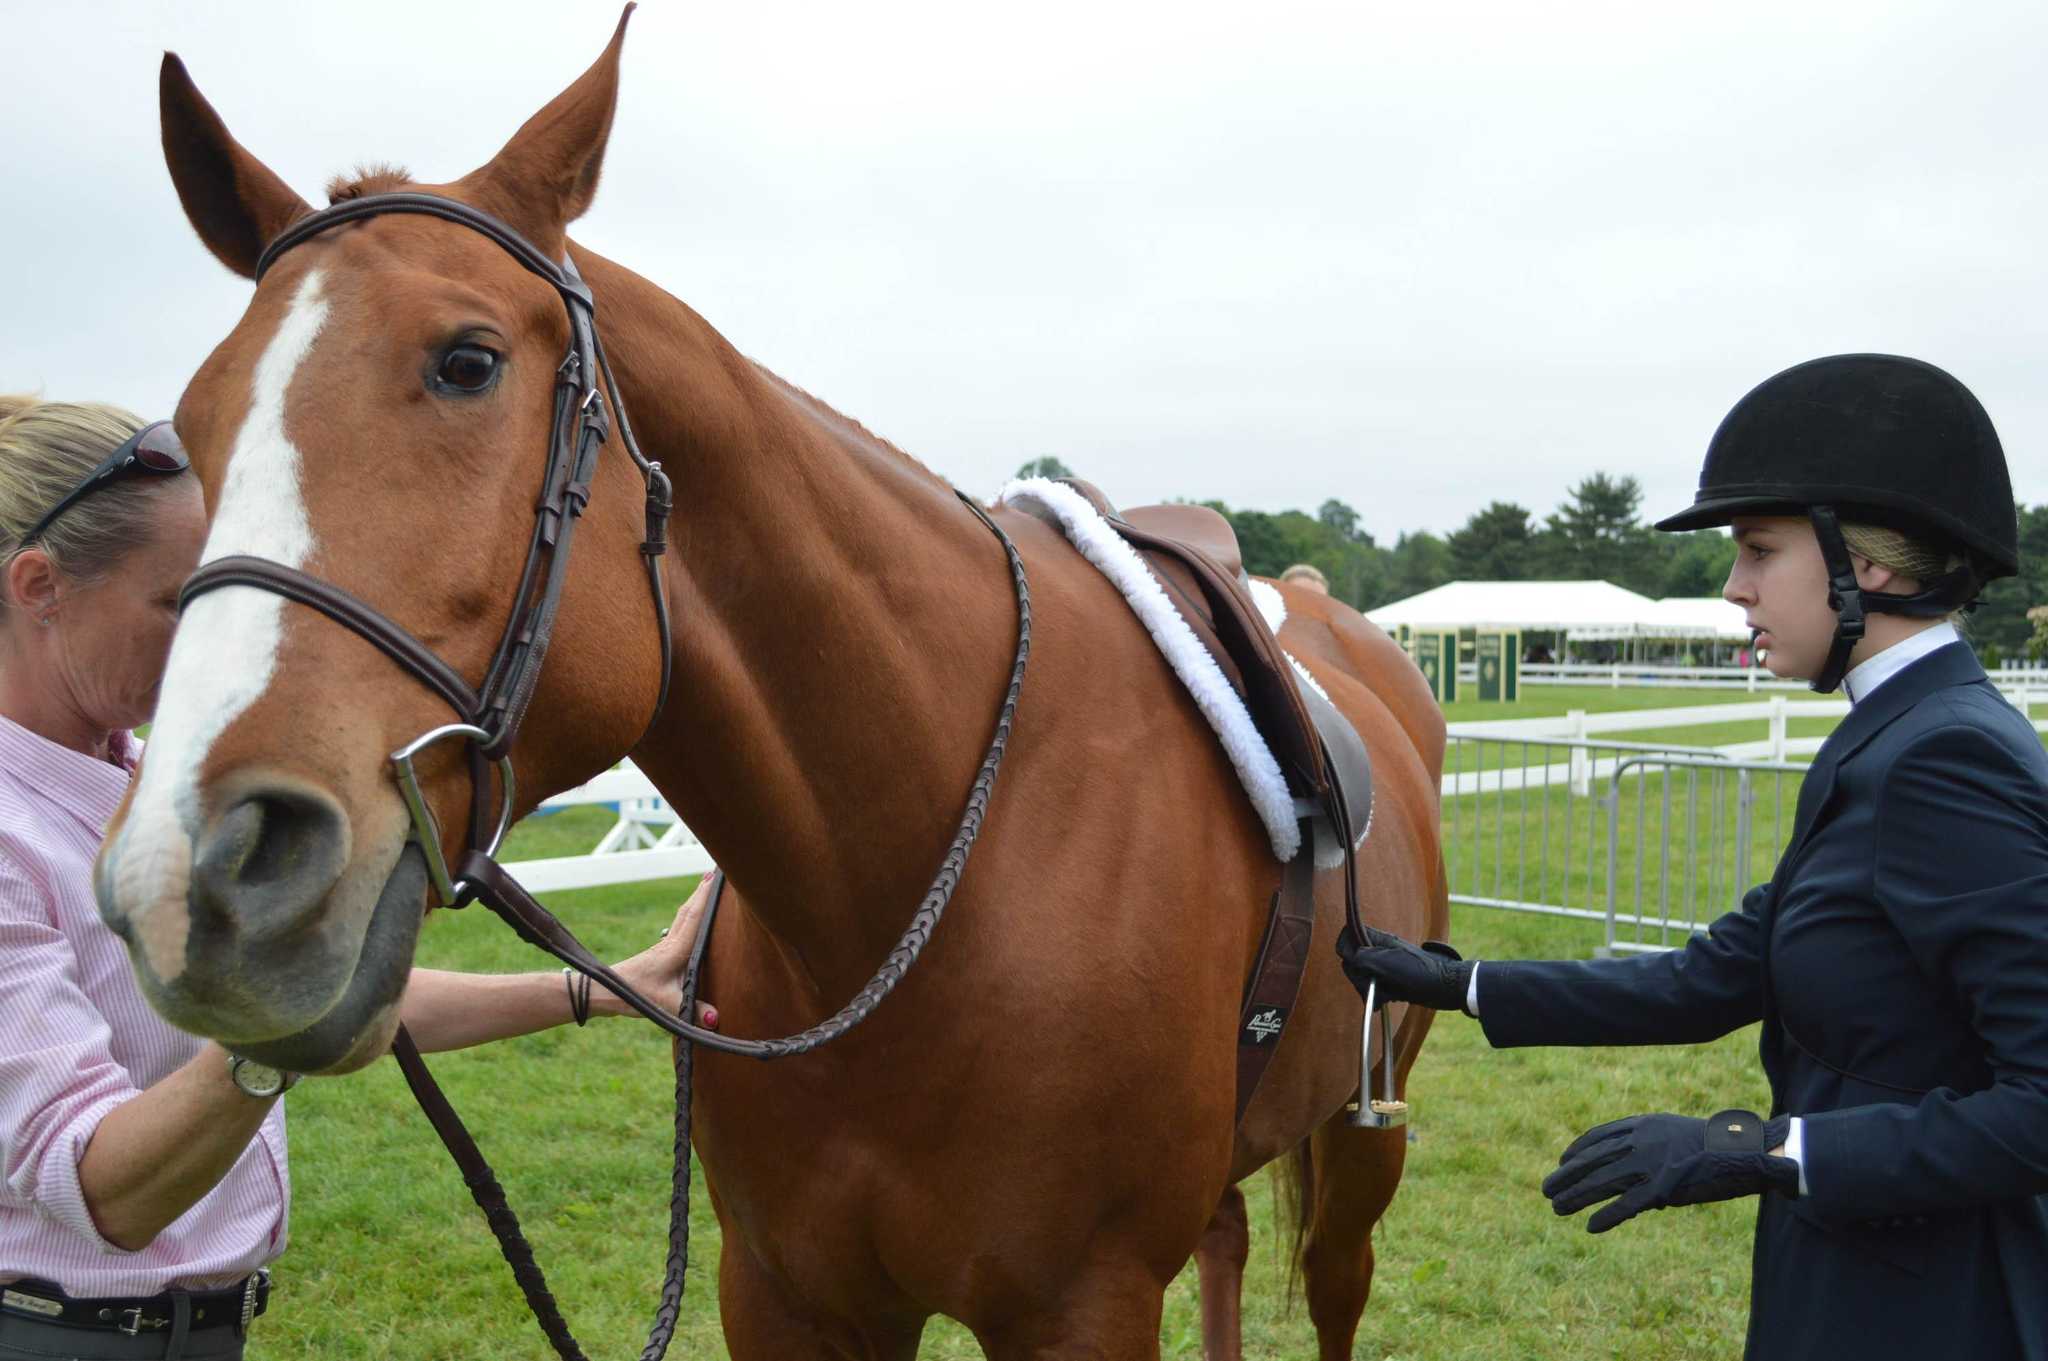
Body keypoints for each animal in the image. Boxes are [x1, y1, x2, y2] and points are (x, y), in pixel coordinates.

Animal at [96, 13, 1449, 1358]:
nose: (194, 875)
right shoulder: (789, 1292)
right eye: (195, 421)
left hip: (1362, 1141)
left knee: (1334, 1277)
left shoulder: (1083, 1305)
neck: (915, 884)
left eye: (467, 361)